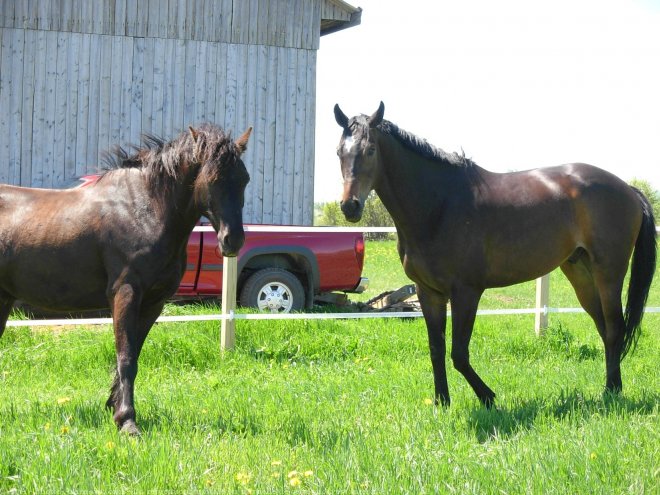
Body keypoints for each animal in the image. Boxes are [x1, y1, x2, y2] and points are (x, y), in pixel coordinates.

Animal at [0, 124, 251, 434]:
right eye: (213, 178)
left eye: (244, 179)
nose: (233, 240)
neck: (144, 209)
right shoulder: (126, 293)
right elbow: (126, 357)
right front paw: (127, 420)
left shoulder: (154, 302)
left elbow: (134, 355)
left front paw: (114, 406)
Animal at [336, 102, 656, 408]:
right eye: (340, 151)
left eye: (370, 150)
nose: (350, 206)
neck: (439, 204)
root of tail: (628, 189)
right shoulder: (429, 293)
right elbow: (436, 349)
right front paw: (442, 402)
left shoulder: (466, 291)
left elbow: (459, 354)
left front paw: (488, 397)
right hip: (580, 273)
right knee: (604, 328)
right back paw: (610, 389)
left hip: (609, 273)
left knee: (614, 328)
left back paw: (611, 392)